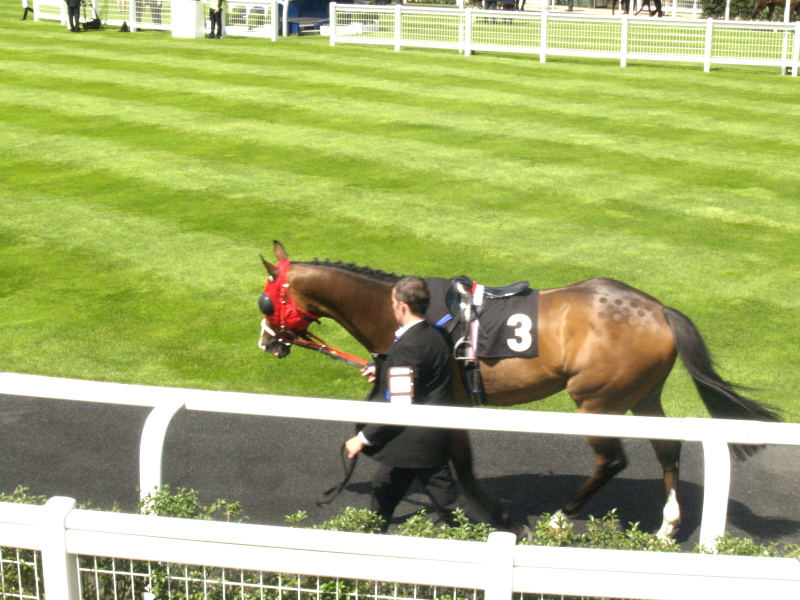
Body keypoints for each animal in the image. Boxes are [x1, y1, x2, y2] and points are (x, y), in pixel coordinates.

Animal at [260, 241, 780, 536]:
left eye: (265, 301)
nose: (267, 342)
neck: (401, 314)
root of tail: (658, 309)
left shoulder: (448, 399)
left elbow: (462, 469)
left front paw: (502, 516)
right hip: (643, 396)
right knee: (667, 448)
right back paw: (668, 524)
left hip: (597, 400)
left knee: (612, 460)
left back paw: (561, 516)